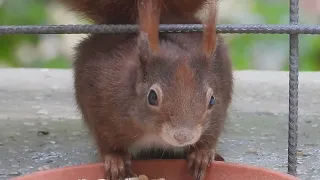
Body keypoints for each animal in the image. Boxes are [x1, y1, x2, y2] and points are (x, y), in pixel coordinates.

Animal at [71, 0, 231, 180]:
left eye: (212, 100)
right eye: (152, 97)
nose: (183, 137)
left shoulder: (218, 111)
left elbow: (210, 136)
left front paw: (201, 155)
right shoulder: (101, 107)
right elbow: (107, 141)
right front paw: (115, 160)